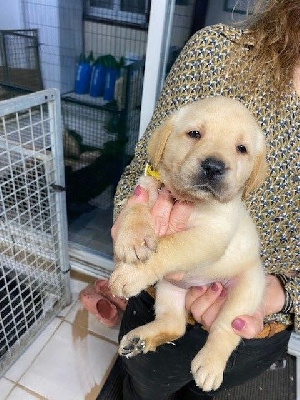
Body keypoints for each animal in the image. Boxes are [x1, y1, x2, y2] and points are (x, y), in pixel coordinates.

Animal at [110, 96, 268, 390]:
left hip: (246, 291)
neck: (186, 199)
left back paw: (210, 365)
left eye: (241, 149)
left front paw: (131, 274)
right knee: (175, 324)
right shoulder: (146, 187)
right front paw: (133, 239)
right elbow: (134, 211)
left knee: (224, 330)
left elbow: (170, 245)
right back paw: (139, 340)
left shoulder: (209, 236)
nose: (214, 166)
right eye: (195, 134)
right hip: (168, 288)